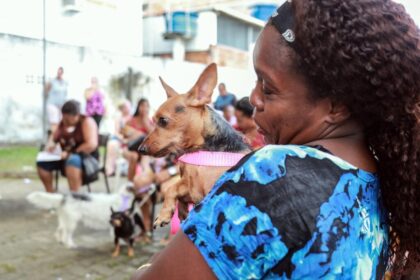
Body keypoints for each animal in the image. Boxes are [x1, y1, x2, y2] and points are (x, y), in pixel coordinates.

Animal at [26, 186, 154, 247]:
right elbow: (117, 236)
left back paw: (61, 241)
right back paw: (70, 245)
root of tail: (64, 197)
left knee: (60, 230)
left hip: (65, 220)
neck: (123, 198)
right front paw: (122, 244)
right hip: (72, 222)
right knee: (67, 234)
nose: (152, 188)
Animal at [139, 63, 249, 228]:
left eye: (163, 120)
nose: (140, 149)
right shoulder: (190, 186)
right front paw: (178, 210)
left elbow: (171, 188)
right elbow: (173, 188)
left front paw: (164, 214)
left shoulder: (205, 192)